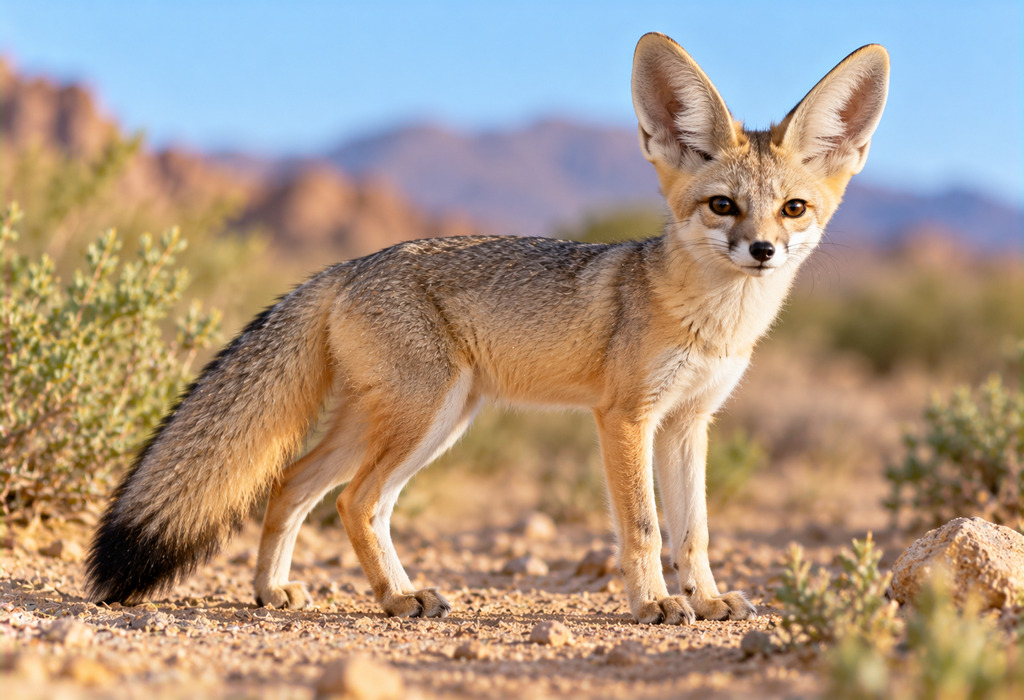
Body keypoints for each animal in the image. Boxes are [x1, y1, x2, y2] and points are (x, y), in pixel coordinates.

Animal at [86, 33, 889, 625]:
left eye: (792, 209)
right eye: (723, 205)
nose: (762, 251)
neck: (709, 321)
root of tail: (347, 265)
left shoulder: (690, 423)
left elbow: (694, 531)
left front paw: (709, 599)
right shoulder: (626, 418)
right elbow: (644, 528)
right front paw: (655, 605)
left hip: (419, 420)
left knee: (292, 483)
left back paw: (274, 591)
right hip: (425, 417)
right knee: (354, 500)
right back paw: (398, 597)